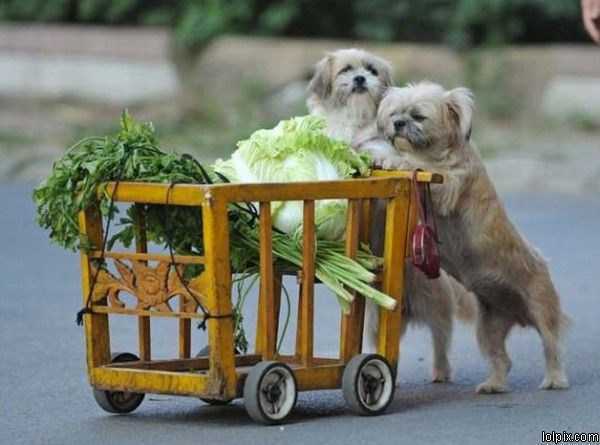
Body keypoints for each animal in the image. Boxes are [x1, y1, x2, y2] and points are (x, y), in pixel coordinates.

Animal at [378, 81, 568, 390]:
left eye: (418, 116)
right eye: (396, 113)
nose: (397, 123)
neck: (435, 153)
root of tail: (520, 316)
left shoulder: (446, 185)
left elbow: (419, 166)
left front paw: (397, 160)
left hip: (542, 308)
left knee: (551, 347)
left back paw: (554, 379)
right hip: (488, 328)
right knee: (502, 359)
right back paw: (494, 384)